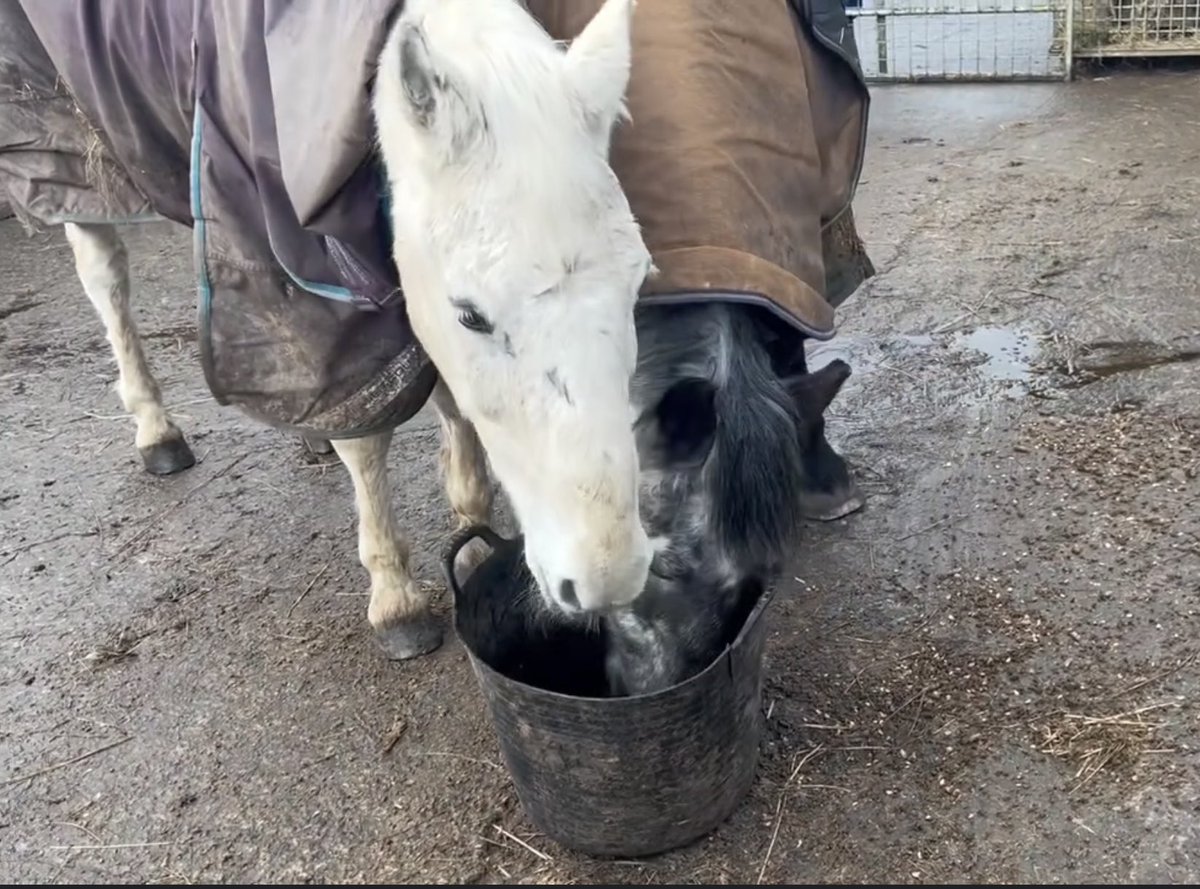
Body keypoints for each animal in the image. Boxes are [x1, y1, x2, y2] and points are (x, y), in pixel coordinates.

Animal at [60, 0, 652, 657]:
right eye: (471, 314)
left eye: (638, 280)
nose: (606, 580)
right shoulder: (322, 299)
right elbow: (366, 436)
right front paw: (395, 598)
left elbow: (453, 407)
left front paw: (473, 538)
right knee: (105, 273)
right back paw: (156, 431)